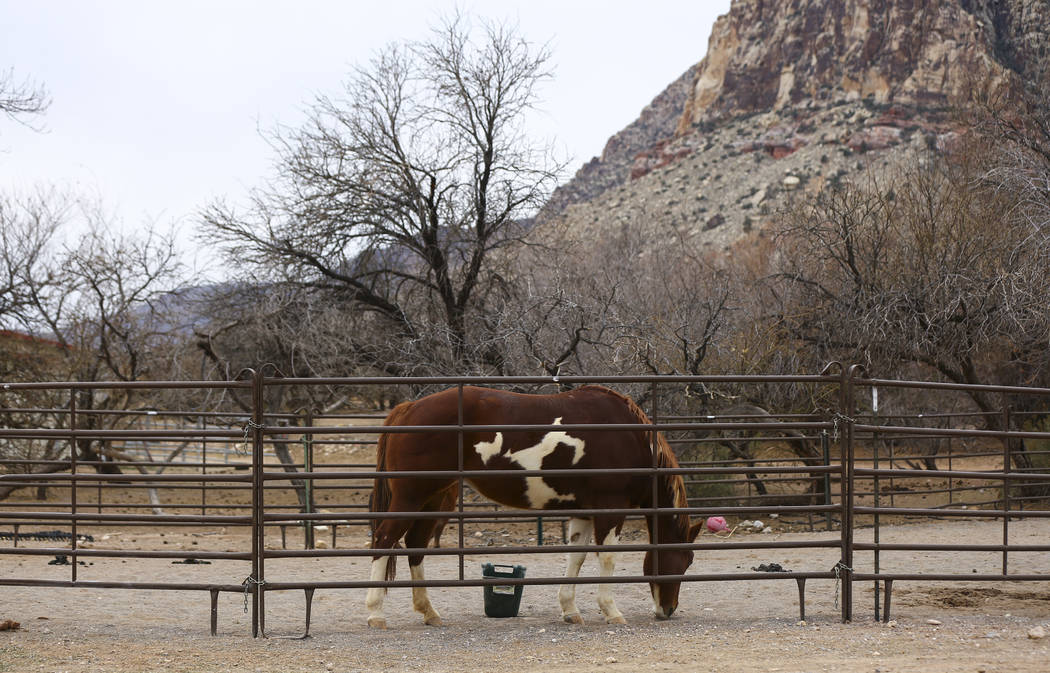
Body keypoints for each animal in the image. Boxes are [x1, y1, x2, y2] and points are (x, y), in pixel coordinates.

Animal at [365, 386, 701, 625]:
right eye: (684, 561)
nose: (668, 610)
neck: (629, 436)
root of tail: (407, 409)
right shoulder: (610, 509)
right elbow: (606, 559)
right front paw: (612, 611)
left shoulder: (584, 512)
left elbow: (576, 558)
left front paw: (570, 610)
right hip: (411, 498)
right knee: (384, 539)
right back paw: (376, 613)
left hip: (434, 500)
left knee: (415, 546)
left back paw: (429, 612)